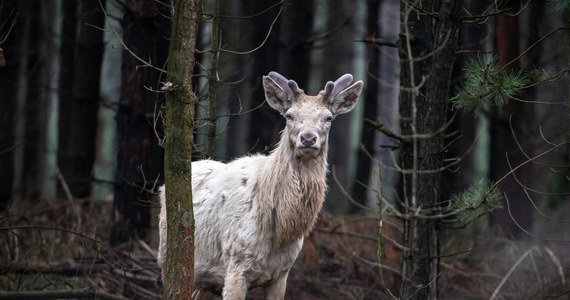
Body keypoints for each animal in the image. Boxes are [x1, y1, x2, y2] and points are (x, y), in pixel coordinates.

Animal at [159, 71, 364, 298]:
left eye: (328, 117)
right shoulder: (235, 264)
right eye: (289, 115)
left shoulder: (281, 274)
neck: (281, 231)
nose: (308, 138)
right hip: (167, 260)